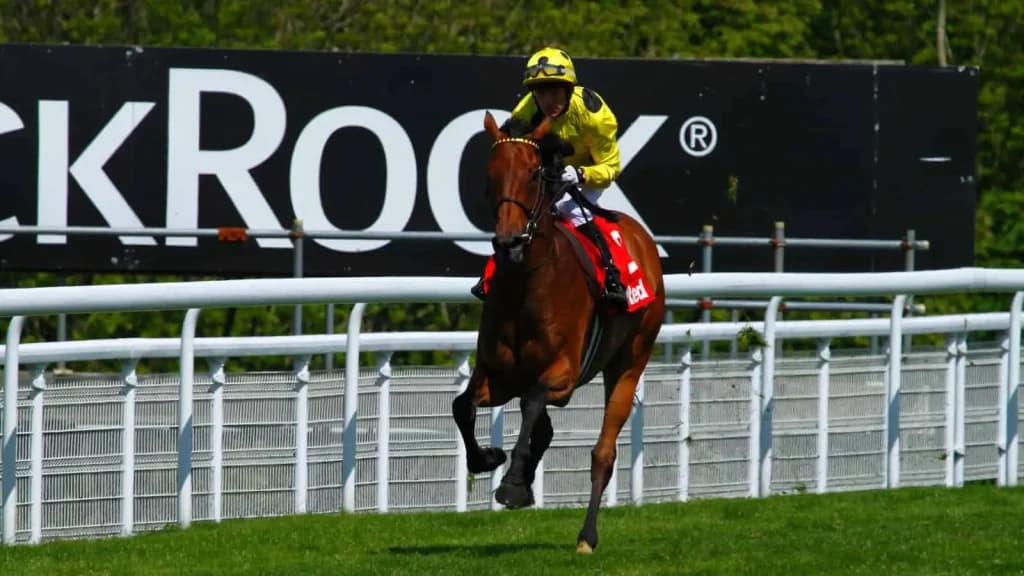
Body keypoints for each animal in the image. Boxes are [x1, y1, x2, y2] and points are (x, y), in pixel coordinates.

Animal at [451, 111, 666, 553]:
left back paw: (587, 536)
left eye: (534, 173)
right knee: (545, 429)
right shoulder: (497, 375)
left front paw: (512, 485)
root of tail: (641, 238)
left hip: (630, 360)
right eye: (490, 173)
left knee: (603, 453)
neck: (527, 284)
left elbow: (532, 402)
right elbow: (462, 406)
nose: (509, 243)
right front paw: (492, 459)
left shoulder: (562, 374)